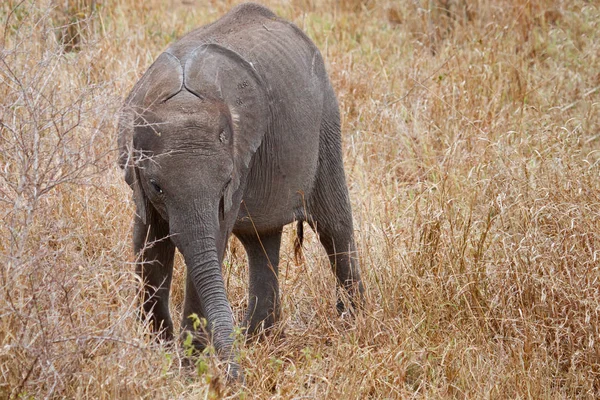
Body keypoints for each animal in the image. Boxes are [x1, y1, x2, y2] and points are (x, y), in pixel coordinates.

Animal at [115, 2, 364, 378]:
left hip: (326, 121)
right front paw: (160, 357)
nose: (236, 376)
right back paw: (258, 337)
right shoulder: (138, 180)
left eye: (226, 183)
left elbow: (211, 245)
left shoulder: (239, 160)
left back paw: (356, 320)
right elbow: (149, 246)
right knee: (261, 240)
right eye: (157, 187)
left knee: (333, 226)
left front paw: (191, 370)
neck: (181, 97)